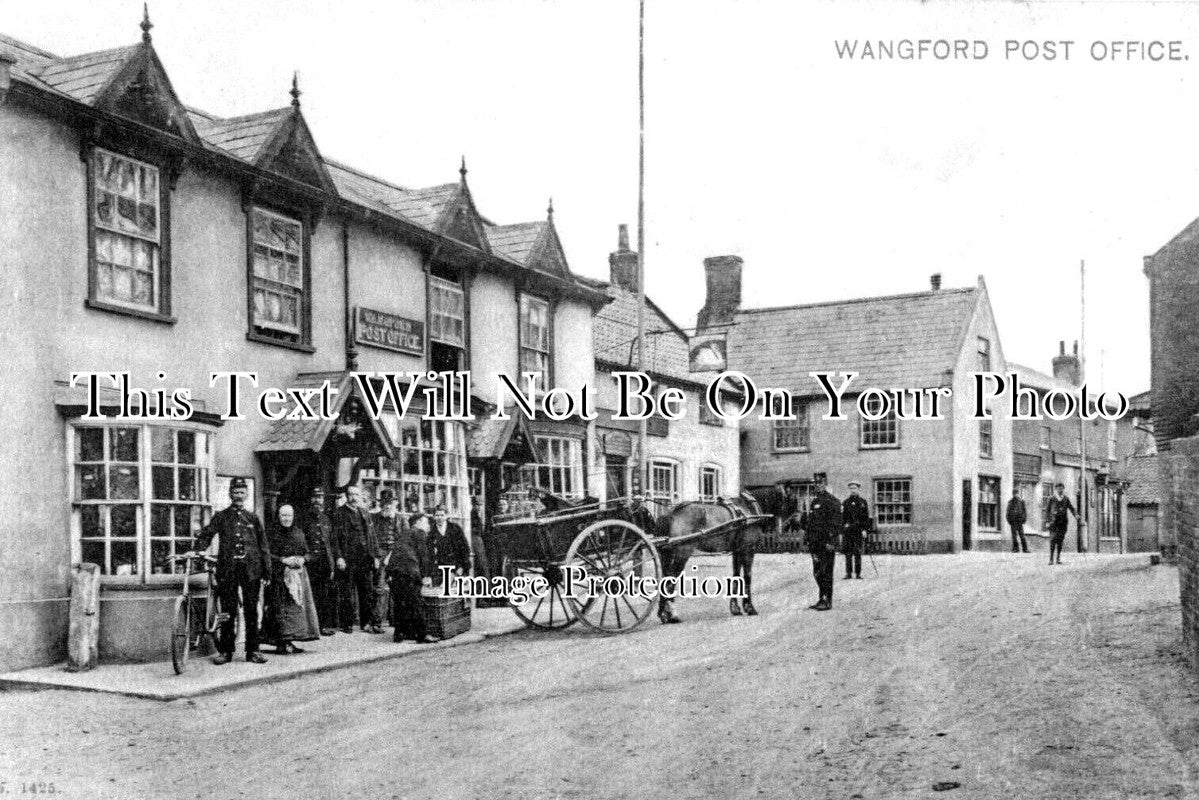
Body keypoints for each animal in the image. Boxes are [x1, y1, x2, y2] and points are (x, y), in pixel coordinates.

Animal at [657, 494, 767, 623]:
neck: (748, 507)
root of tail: (672, 512)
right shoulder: (748, 549)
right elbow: (747, 577)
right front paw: (750, 608)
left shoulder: (737, 551)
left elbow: (736, 576)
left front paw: (735, 608)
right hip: (682, 553)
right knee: (671, 579)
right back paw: (672, 614)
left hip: (666, 554)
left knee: (664, 578)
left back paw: (663, 613)